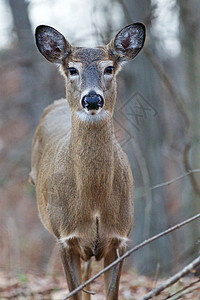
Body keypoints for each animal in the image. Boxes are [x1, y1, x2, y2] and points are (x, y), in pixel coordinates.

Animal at [29, 22, 145, 298]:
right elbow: (75, 292)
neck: (93, 202)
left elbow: (111, 293)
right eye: (72, 69)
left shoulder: (120, 237)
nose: (92, 99)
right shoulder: (65, 237)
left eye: (109, 68)